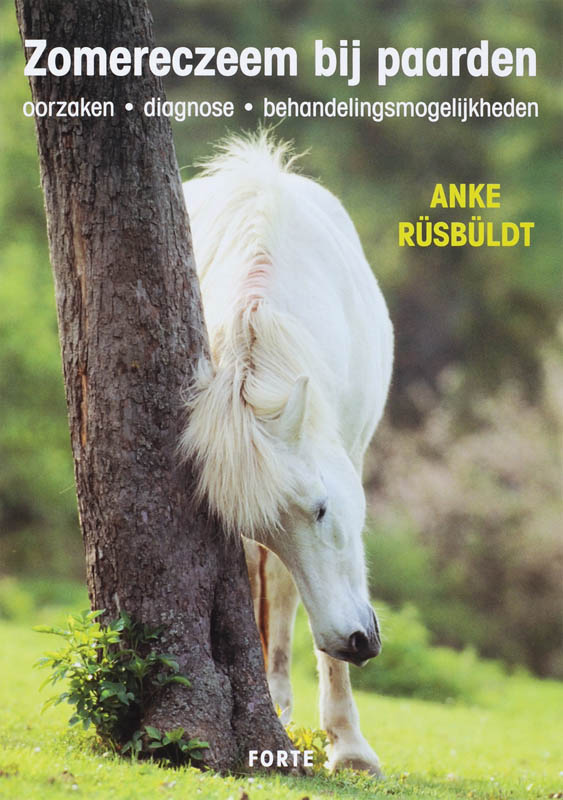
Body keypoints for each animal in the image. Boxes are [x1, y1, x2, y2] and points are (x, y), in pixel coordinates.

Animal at [180, 132, 393, 774]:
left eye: (322, 510)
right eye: (266, 527)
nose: (355, 641)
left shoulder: (350, 451)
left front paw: (349, 747)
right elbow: (263, 579)